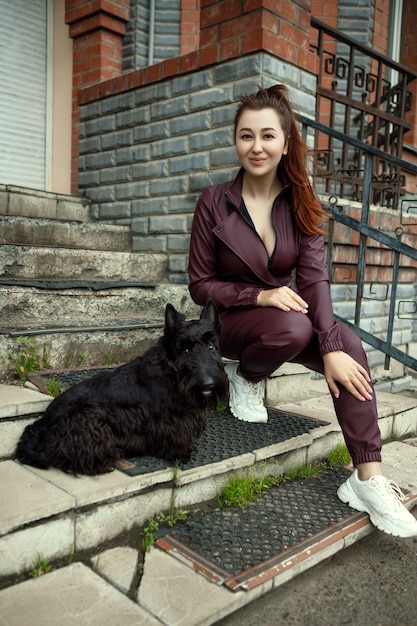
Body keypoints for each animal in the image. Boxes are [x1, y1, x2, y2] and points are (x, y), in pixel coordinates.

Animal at [15, 302, 228, 472]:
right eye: (185, 349)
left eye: (211, 346)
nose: (207, 383)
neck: (171, 369)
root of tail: (45, 420)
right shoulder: (168, 420)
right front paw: (181, 452)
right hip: (88, 420)